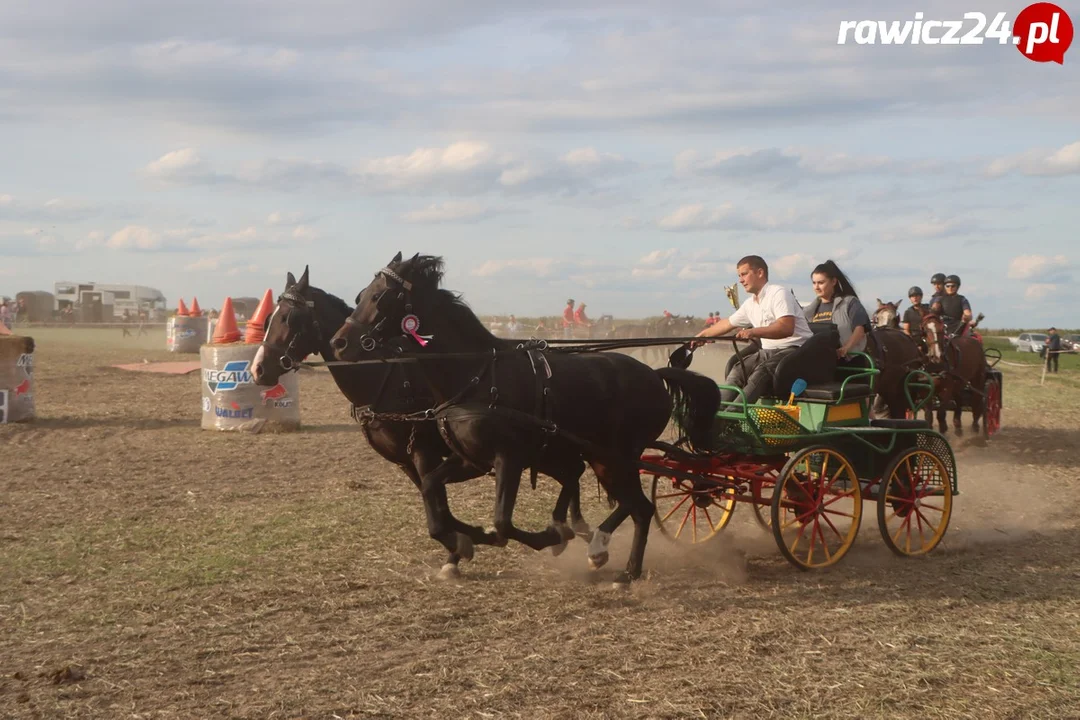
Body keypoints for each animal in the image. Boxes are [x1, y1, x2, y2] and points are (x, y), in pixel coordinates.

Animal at [250, 266, 591, 578]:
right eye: (267, 321)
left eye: (289, 319)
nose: (258, 369)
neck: (384, 379)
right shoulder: (406, 462)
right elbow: (439, 509)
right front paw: (464, 545)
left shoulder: (425, 453)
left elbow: (438, 514)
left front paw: (462, 547)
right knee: (573, 470)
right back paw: (576, 528)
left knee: (576, 468)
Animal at [326, 253, 717, 587]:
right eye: (362, 294)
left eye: (380, 295)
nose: (339, 343)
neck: (477, 375)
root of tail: (654, 375)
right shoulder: (469, 460)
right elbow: (432, 495)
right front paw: (467, 540)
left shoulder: (508, 458)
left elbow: (502, 523)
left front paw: (550, 536)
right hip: (598, 457)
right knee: (629, 504)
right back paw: (613, 559)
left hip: (615, 457)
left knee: (641, 507)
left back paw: (617, 562)